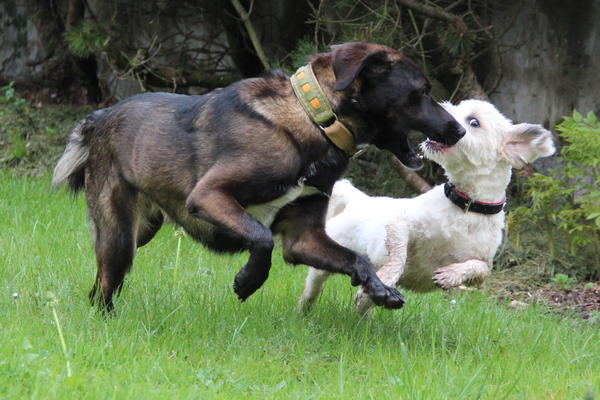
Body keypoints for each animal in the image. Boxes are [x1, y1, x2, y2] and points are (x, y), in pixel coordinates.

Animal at [52, 42, 464, 310]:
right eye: (422, 92)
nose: (459, 130)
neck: (314, 119)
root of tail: (100, 117)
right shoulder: (209, 196)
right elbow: (261, 236)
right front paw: (248, 280)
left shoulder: (304, 238)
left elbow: (356, 258)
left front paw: (378, 288)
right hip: (119, 235)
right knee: (105, 286)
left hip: (142, 229)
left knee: (100, 284)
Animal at [298, 100, 556, 312]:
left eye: (474, 121)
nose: (439, 109)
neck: (464, 207)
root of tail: (359, 199)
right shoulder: (401, 223)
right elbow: (399, 254)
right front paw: (388, 276)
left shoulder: (484, 262)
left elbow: (478, 268)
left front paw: (450, 276)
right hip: (331, 254)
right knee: (313, 286)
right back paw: (305, 311)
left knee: (364, 304)